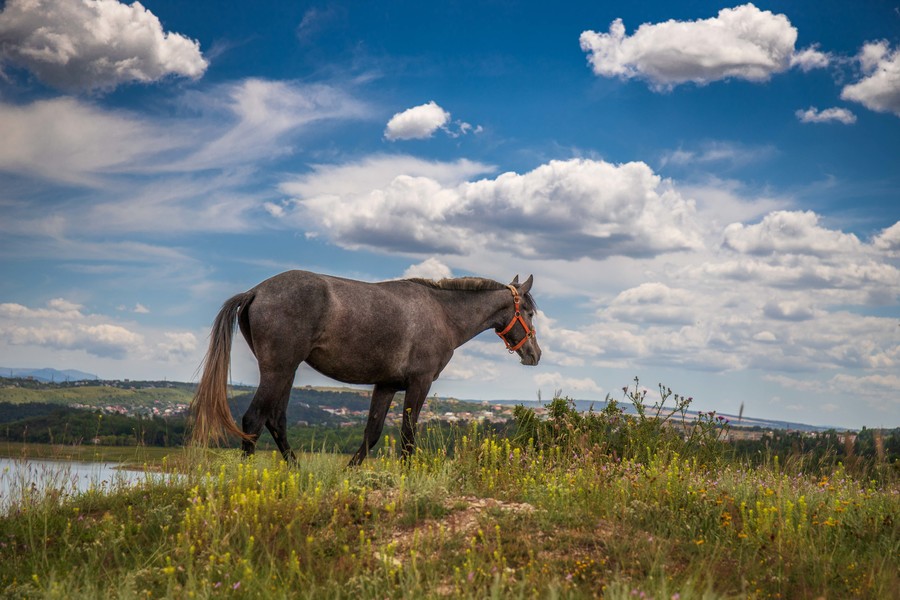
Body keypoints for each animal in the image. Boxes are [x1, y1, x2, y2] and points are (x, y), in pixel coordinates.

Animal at [191, 270, 540, 464]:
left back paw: (298, 473)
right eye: (530, 313)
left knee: (275, 421)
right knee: (254, 419)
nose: (534, 354)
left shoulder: (386, 386)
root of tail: (255, 291)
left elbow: (371, 434)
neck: (442, 313)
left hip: (285, 372)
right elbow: (408, 435)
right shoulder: (420, 383)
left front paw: (347, 475)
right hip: (278, 370)